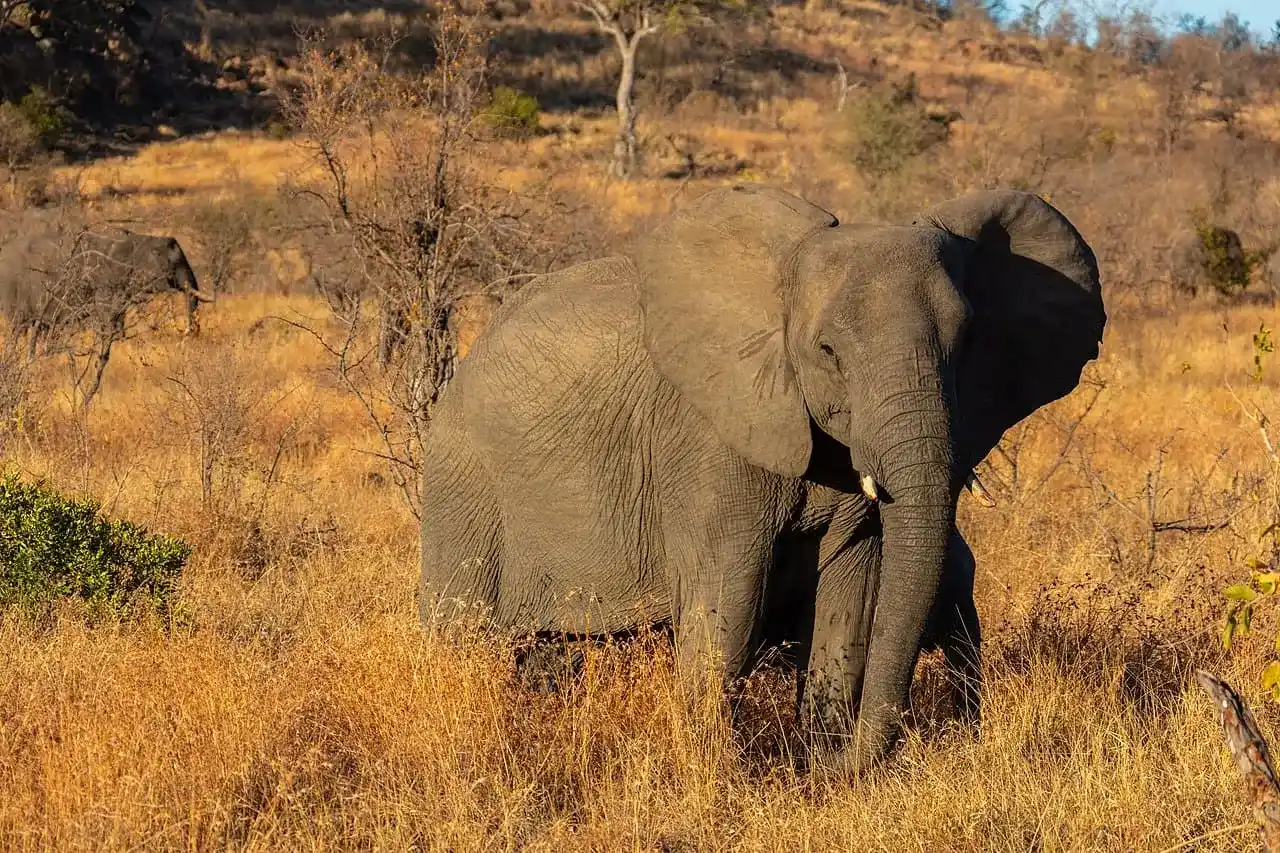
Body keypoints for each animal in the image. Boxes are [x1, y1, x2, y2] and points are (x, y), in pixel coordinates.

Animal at [418, 183, 1105, 770]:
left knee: (552, 648)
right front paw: (717, 775)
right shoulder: (707, 439)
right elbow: (726, 601)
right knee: (462, 635)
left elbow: (850, 596)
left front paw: (823, 770)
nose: (859, 760)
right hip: (462, 483)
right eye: (827, 352)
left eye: (964, 346)